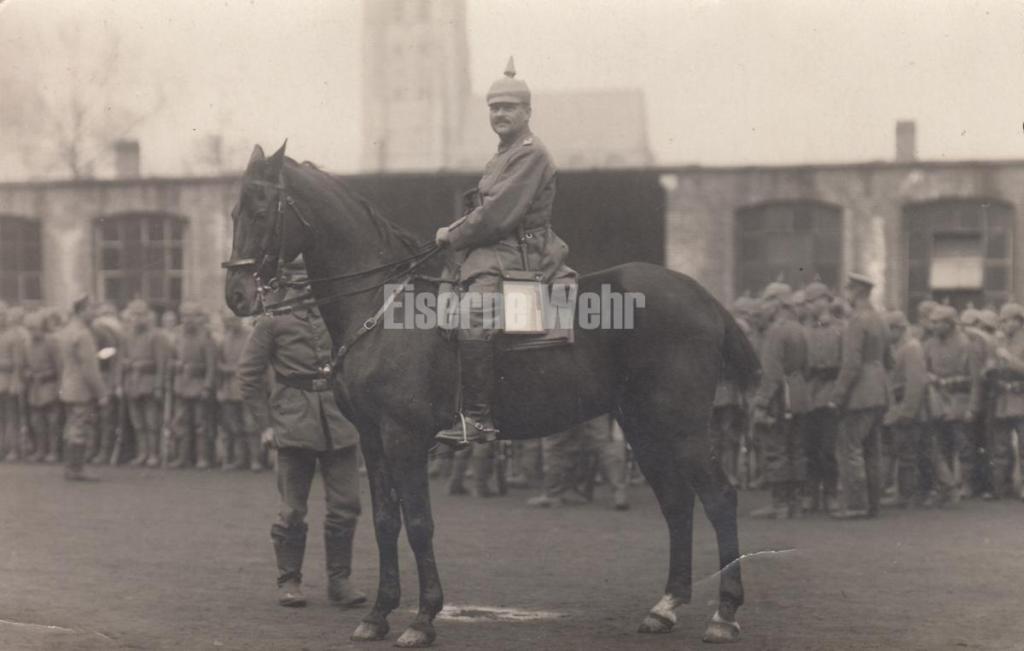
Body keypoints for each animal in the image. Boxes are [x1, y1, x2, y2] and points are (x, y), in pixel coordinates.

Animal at [224, 142, 761, 646]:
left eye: (260, 207)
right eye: (232, 211)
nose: (236, 295)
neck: (383, 306)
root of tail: (702, 296)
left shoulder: (404, 438)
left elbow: (418, 522)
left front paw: (422, 618)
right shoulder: (373, 441)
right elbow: (384, 521)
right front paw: (377, 615)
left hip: (683, 428)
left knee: (719, 498)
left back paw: (724, 614)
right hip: (644, 428)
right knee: (677, 502)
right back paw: (665, 608)